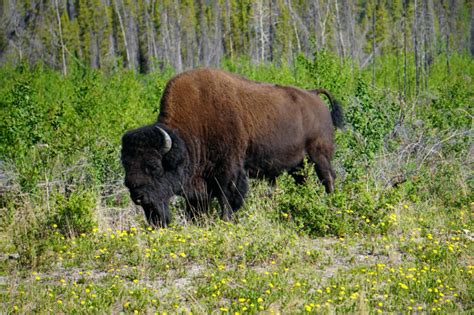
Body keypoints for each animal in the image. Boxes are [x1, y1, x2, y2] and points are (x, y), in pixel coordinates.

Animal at [121, 68, 344, 227]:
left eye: (154, 166)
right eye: (126, 167)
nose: (138, 196)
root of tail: (314, 95)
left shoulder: (228, 170)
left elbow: (227, 197)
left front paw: (226, 220)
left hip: (319, 154)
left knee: (328, 177)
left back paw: (332, 201)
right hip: (299, 164)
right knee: (303, 181)